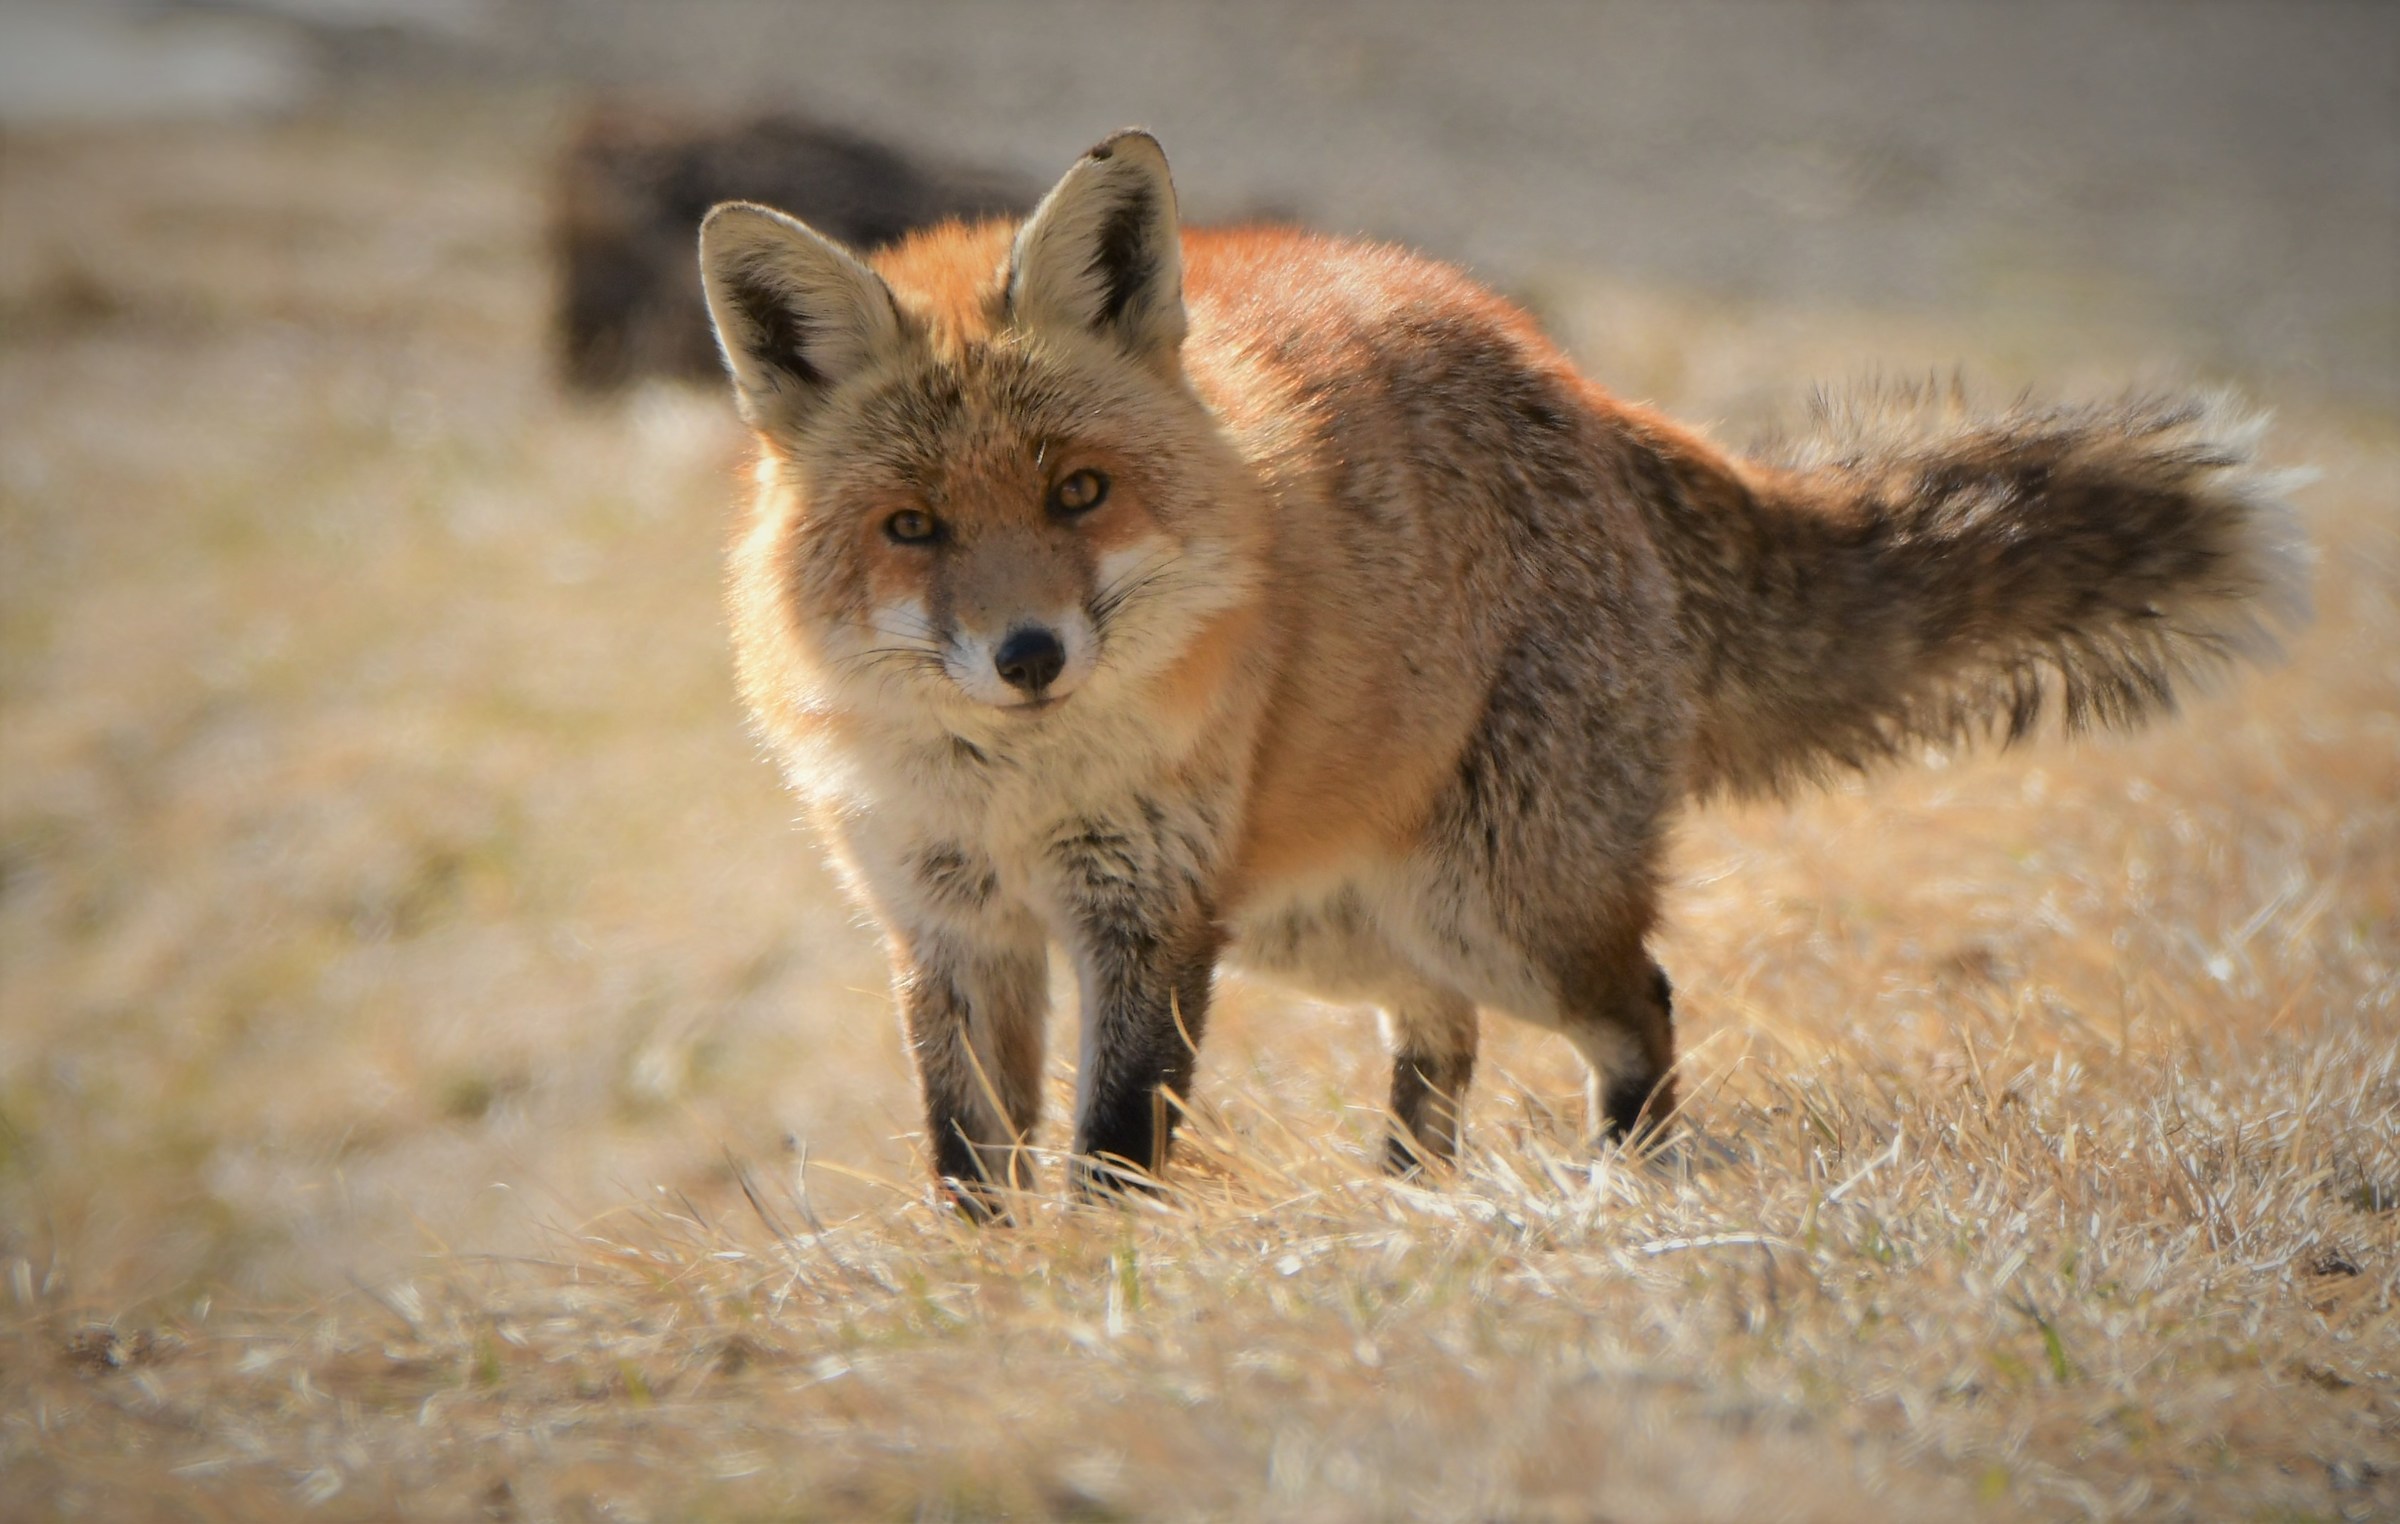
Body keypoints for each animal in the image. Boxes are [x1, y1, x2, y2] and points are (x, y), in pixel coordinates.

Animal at [695, 130, 2307, 1215]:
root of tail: (1578, 385)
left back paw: (1619, 1194)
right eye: (913, 528)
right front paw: (997, 1297)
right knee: (1442, 1041)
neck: (1015, 792)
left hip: (1493, 905)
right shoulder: (947, 924)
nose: (1028, 656)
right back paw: (1411, 1205)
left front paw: (1104, 1289)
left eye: (1080, 493)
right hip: (1330, 925)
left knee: (1640, 1001)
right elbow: (970, 1164)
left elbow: (1112, 1152)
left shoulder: (1146, 917)